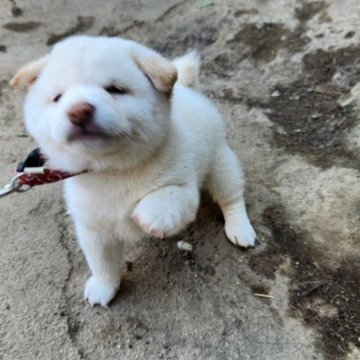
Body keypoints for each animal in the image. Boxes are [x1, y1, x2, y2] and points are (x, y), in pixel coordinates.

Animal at [9, 35, 256, 306]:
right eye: (58, 97)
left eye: (115, 89)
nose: (78, 111)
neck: (113, 170)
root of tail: (188, 89)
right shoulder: (94, 229)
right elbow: (102, 264)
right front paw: (104, 287)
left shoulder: (185, 190)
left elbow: (165, 197)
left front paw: (147, 216)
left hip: (221, 163)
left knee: (231, 197)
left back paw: (239, 228)